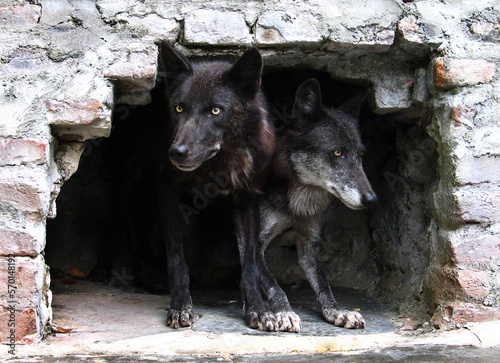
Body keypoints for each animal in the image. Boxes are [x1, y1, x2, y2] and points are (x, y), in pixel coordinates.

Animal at [159, 42, 276, 330]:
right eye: (179, 108)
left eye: (215, 110)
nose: (177, 153)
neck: (220, 164)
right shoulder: (167, 189)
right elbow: (177, 259)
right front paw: (180, 305)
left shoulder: (248, 198)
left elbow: (250, 263)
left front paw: (258, 308)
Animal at [258, 79, 376, 332]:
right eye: (338, 152)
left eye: (361, 154)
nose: (371, 199)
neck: (297, 202)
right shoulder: (255, 244)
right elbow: (273, 285)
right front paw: (284, 312)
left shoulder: (309, 244)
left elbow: (324, 285)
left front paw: (337, 311)